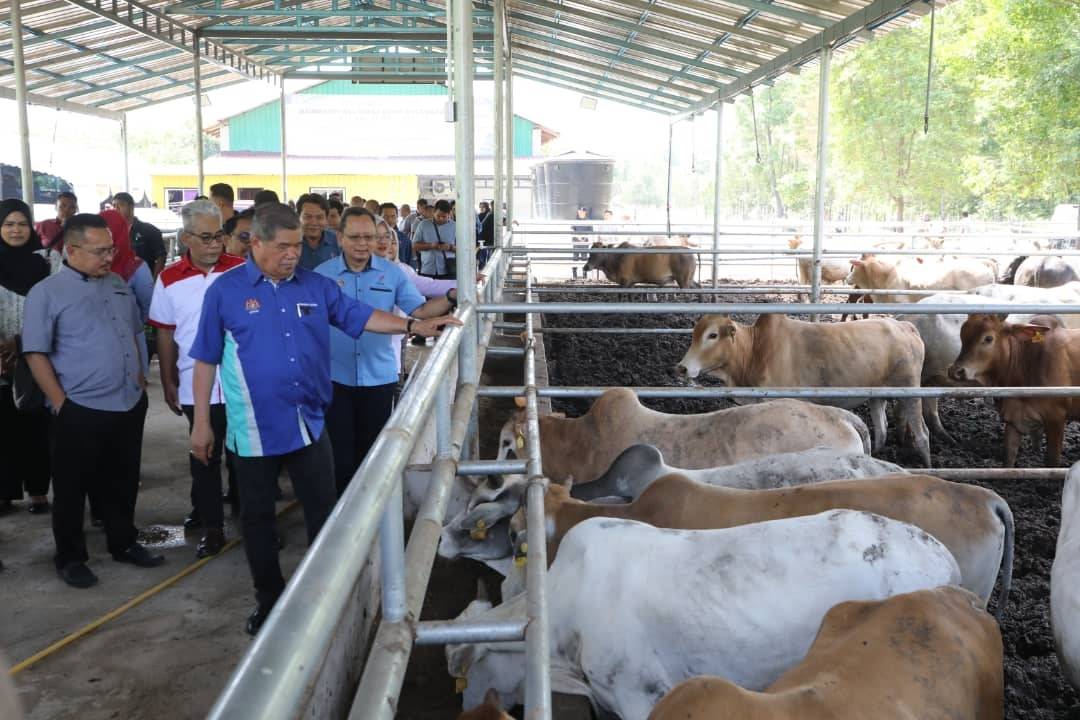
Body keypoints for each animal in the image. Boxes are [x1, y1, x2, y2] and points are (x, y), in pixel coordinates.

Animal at [678, 313, 924, 462]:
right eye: (694, 334)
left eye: (712, 335)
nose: (682, 368)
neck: (755, 351)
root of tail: (905, 326)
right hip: (877, 396)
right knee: (882, 429)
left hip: (910, 391)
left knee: (922, 433)